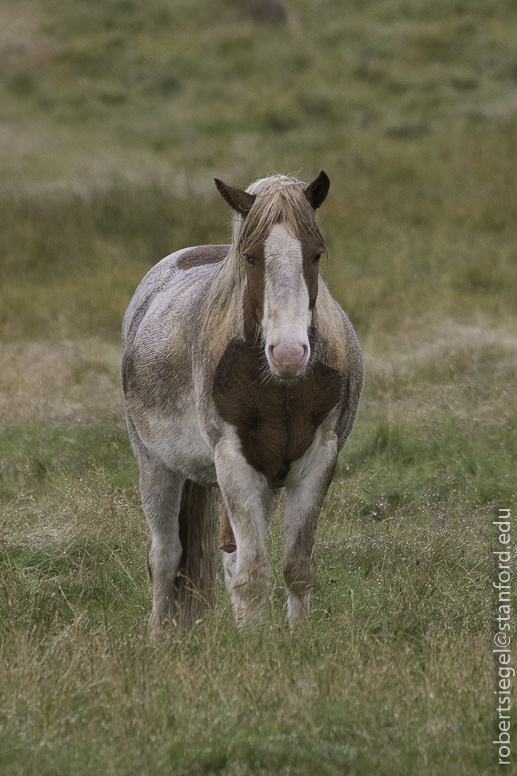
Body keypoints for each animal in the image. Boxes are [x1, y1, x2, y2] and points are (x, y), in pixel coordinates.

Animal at [121, 170, 362, 632]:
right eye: (250, 258)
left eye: (316, 255)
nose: (289, 353)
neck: (281, 389)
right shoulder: (233, 464)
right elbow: (251, 577)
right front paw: (252, 645)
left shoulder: (316, 464)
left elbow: (295, 569)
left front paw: (295, 639)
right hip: (155, 465)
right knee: (165, 556)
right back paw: (158, 635)